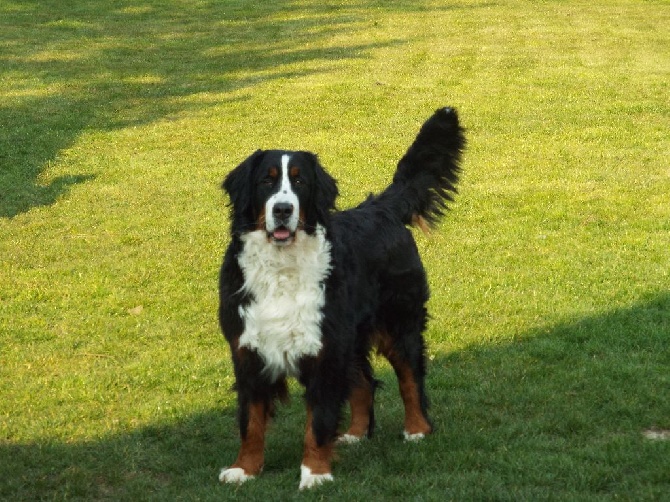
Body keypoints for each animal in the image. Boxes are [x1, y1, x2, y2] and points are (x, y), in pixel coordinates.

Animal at [218, 107, 464, 490]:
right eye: (266, 182)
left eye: (301, 182)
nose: (283, 209)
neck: (281, 268)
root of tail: (381, 207)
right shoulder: (248, 351)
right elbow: (251, 421)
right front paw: (244, 468)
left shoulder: (323, 351)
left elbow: (317, 422)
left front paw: (315, 472)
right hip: (351, 334)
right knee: (363, 381)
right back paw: (356, 433)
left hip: (398, 322)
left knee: (411, 377)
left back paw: (417, 429)